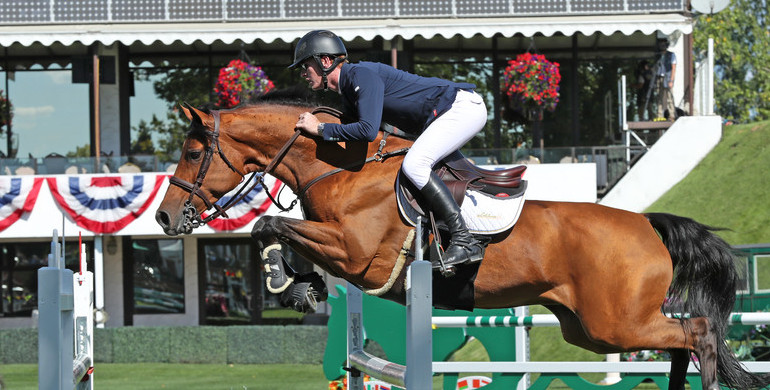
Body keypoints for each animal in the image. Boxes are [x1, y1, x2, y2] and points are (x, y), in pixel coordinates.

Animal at [156, 93, 768, 388]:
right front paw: (301, 284)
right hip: (589, 328)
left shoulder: (359, 256)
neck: (339, 167)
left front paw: (284, 278)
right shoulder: (340, 250)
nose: (163, 218)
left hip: (614, 321)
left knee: (697, 333)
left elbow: (269, 226)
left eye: (192, 152)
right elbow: (282, 231)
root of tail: (647, 225)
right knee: (680, 343)